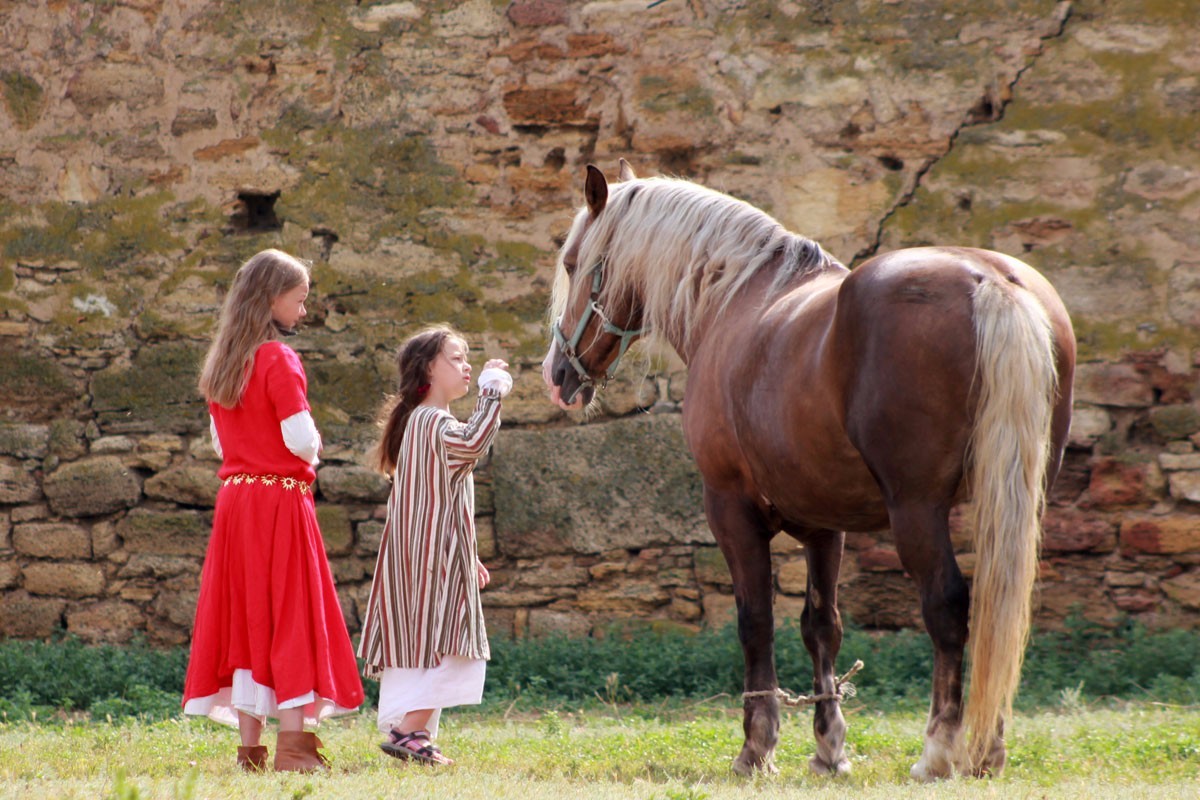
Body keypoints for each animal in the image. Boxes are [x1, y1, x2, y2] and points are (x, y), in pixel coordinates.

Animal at [540, 159, 1075, 777]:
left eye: (574, 264)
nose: (557, 374)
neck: (735, 300)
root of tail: (987, 279)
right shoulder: (826, 525)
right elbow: (822, 627)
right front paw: (829, 748)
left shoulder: (730, 508)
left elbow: (756, 621)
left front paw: (756, 748)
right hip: (1017, 501)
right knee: (1002, 608)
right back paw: (988, 751)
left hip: (918, 509)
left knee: (947, 607)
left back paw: (938, 752)